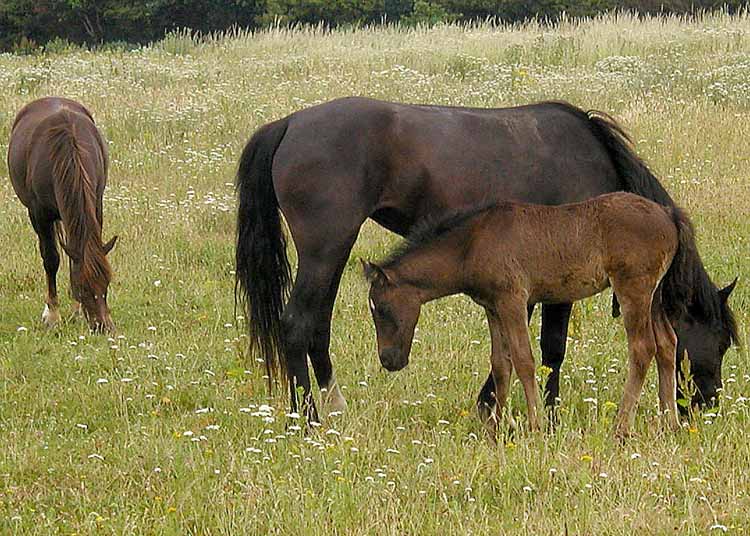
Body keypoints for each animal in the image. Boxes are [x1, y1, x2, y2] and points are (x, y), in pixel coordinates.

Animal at [7, 96, 119, 330]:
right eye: (82, 287)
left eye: (107, 283)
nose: (102, 326)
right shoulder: (39, 214)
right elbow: (51, 258)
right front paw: (52, 315)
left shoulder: (96, 204)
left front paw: (75, 312)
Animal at [364, 193, 728, 436]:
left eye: (381, 309)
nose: (389, 360)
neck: (471, 243)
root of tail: (668, 213)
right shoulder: (492, 307)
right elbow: (500, 364)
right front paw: (497, 427)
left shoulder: (513, 300)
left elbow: (523, 360)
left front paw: (535, 423)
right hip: (654, 295)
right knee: (667, 345)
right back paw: (670, 422)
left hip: (633, 289)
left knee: (643, 349)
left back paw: (622, 427)